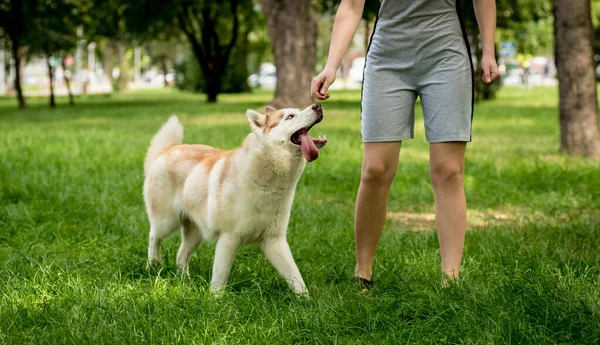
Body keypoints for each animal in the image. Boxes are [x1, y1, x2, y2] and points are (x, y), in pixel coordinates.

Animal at [142, 103, 326, 294]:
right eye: (289, 116)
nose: (317, 105)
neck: (267, 186)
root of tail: (166, 150)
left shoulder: (274, 241)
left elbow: (296, 277)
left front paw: (306, 299)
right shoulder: (228, 239)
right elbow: (220, 276)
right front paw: (215, 298)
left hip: (196, 233)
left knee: (181, 255)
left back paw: (184, 280)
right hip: (166, 222)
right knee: (153, 237)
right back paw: (152, 265)